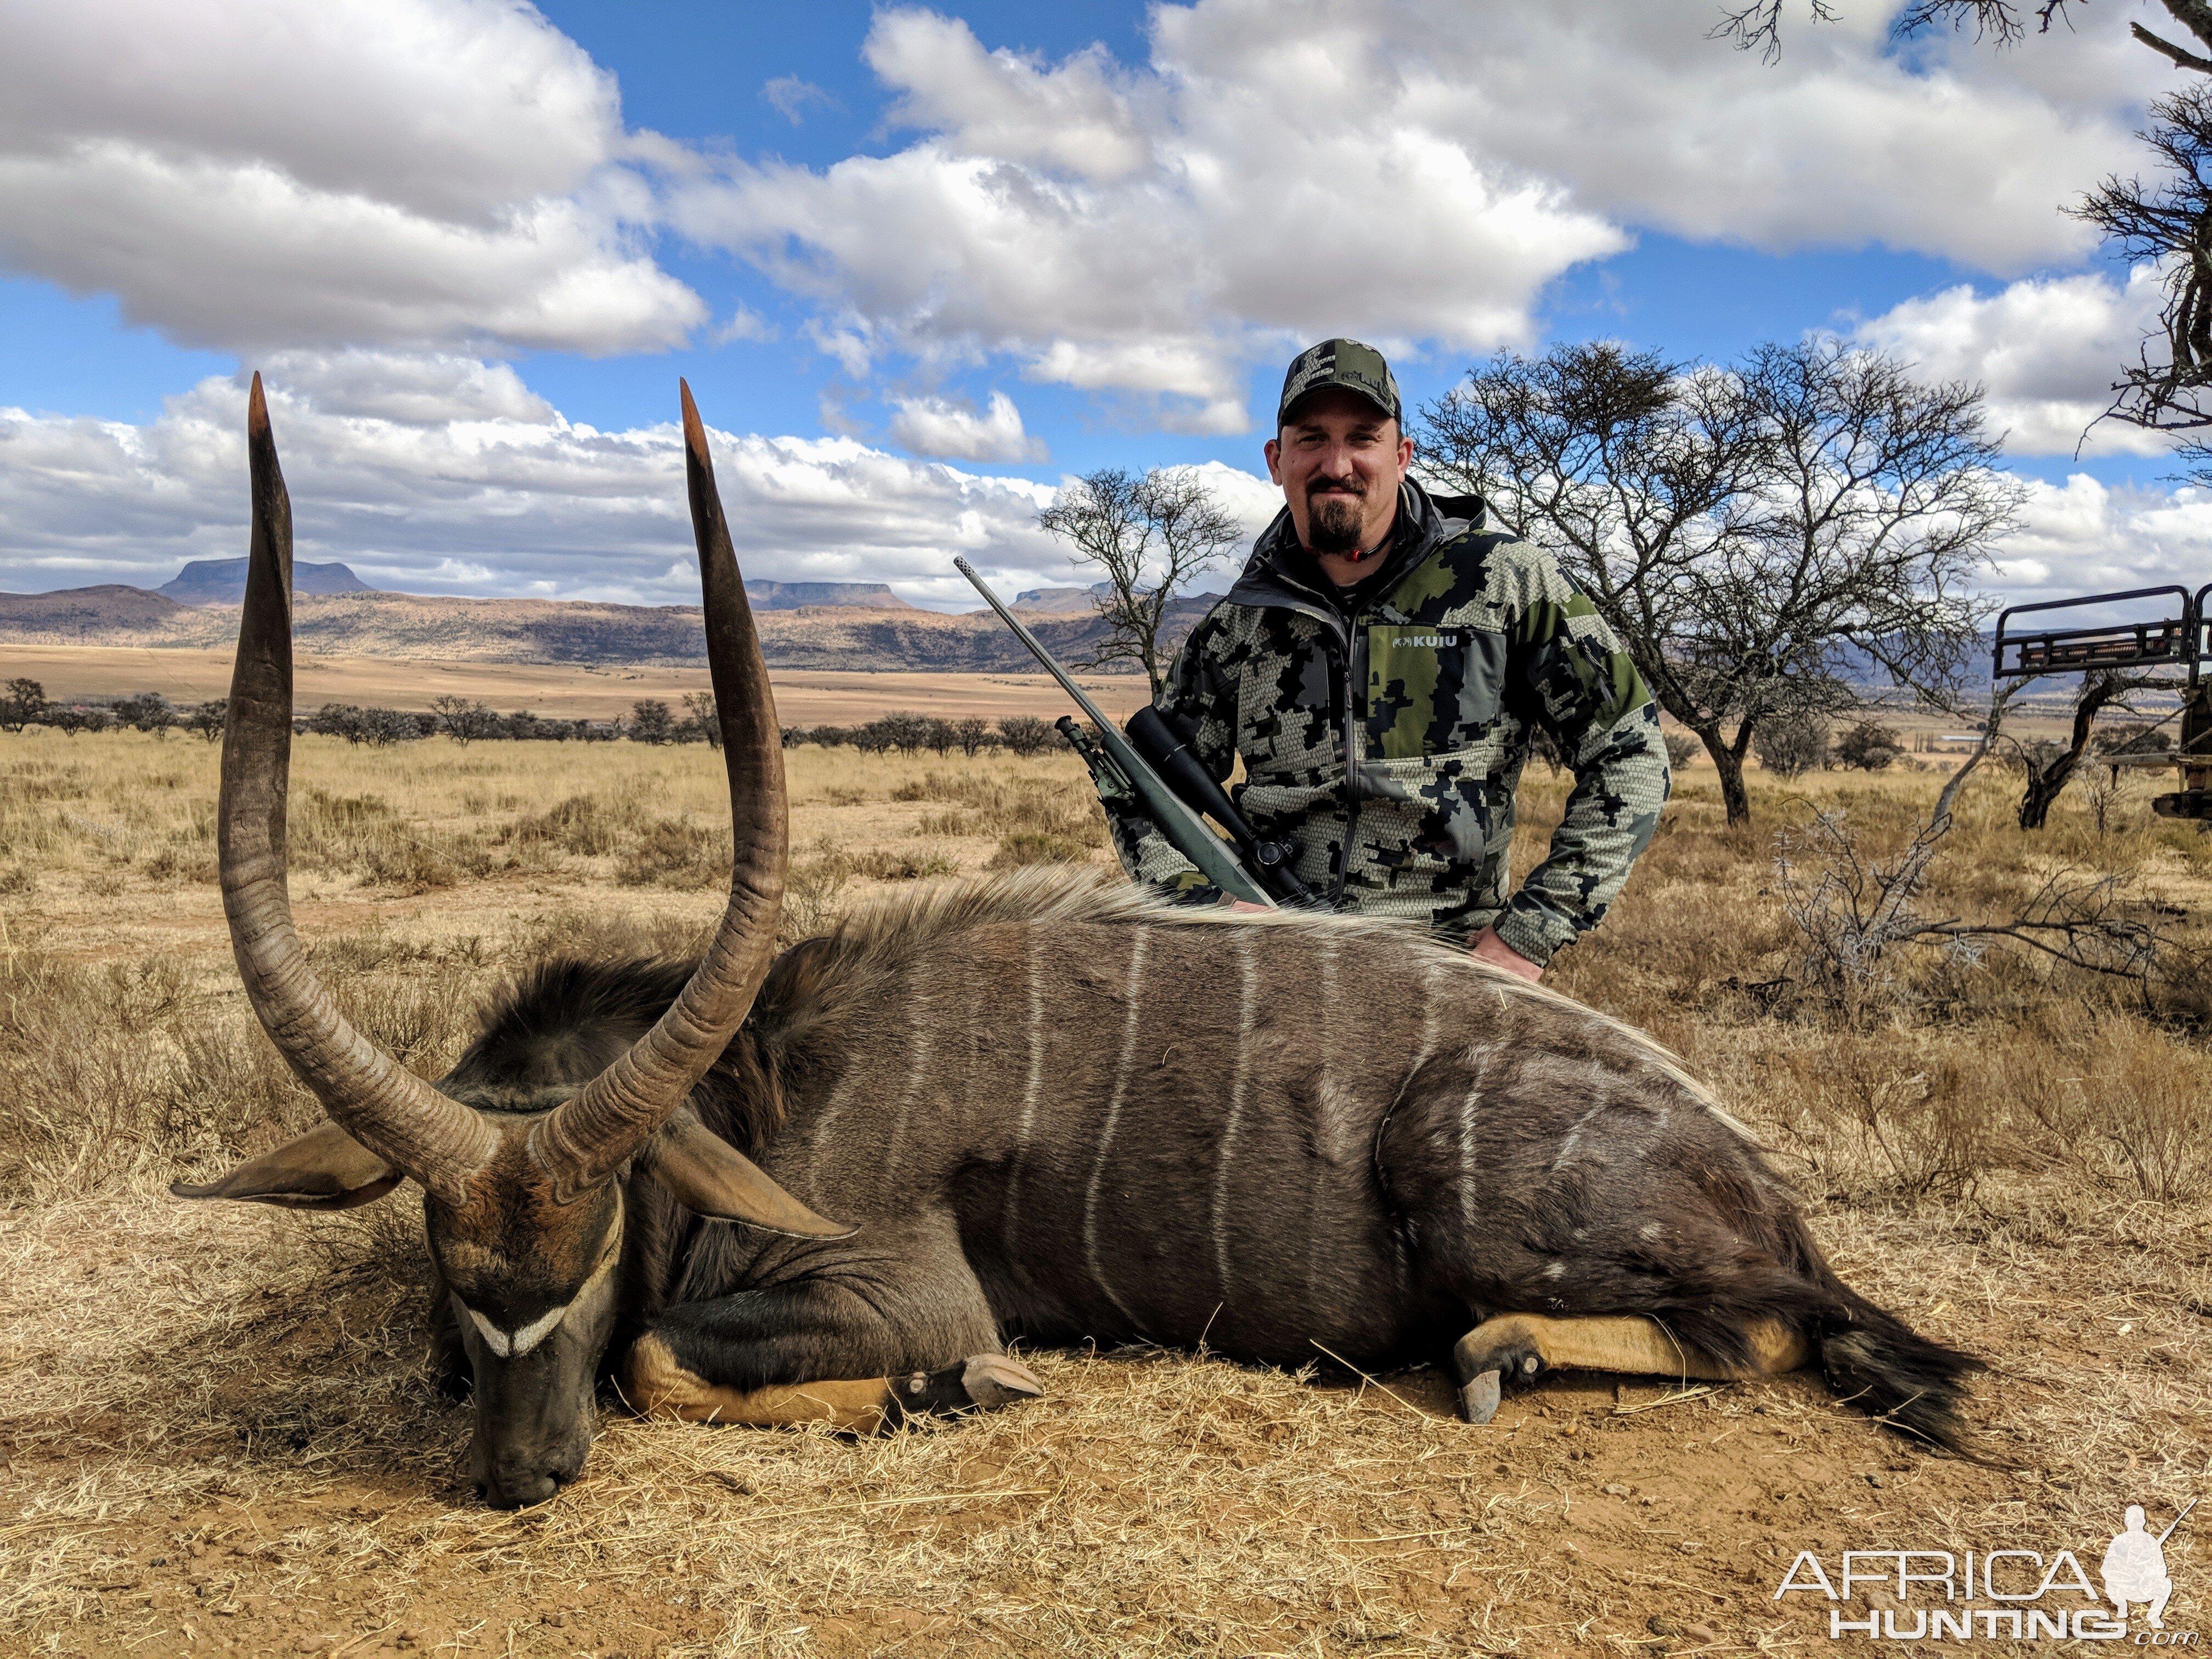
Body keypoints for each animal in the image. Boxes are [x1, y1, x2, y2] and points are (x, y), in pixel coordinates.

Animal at [181, 376, 1982, 1504]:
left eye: (609, 1227)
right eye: (447, 1259)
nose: (518, 1477)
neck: (765, 1078)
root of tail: (1757, 1184)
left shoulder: (895, 1292)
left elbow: (666, 1364)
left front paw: (947, 1394)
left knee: (1761, 1331)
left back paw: (1502, 1356)